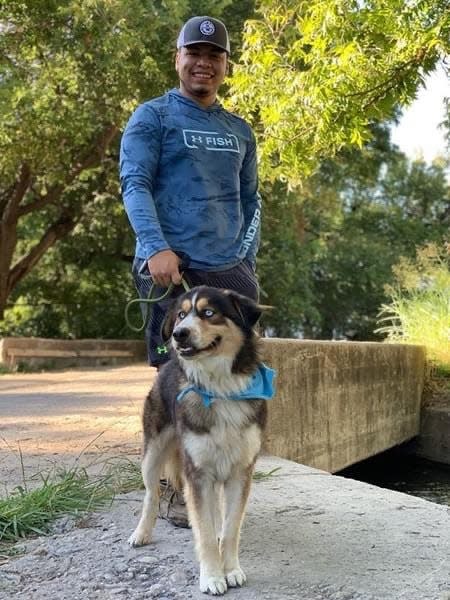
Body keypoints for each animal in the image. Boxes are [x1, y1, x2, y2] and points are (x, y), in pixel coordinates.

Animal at [126, 288, 274, 596]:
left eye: (209, 313)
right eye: (181, 314)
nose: (178, 334)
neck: (220, 387)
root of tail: (168, 364)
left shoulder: (240, 472)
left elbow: (230, 529)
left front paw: (231, 570)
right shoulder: (197, 474)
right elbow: (203, 532)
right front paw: (212, 577)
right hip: (152, 454)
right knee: (151, 495)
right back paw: (141, 533)